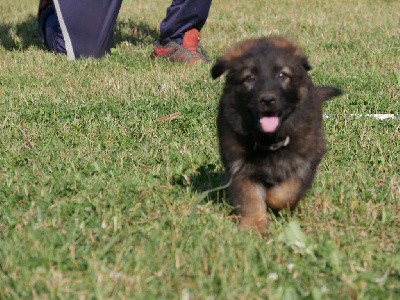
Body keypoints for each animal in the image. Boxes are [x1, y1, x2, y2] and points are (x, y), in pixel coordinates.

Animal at [212, 37, 340, 234]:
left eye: (282, 75)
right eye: (249, 78)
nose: (267, 100)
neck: (269, 140)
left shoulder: (306, 160)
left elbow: (285, 193)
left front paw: (273, 199)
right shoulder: (239, 167)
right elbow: (250, 200)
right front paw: (254, 226)